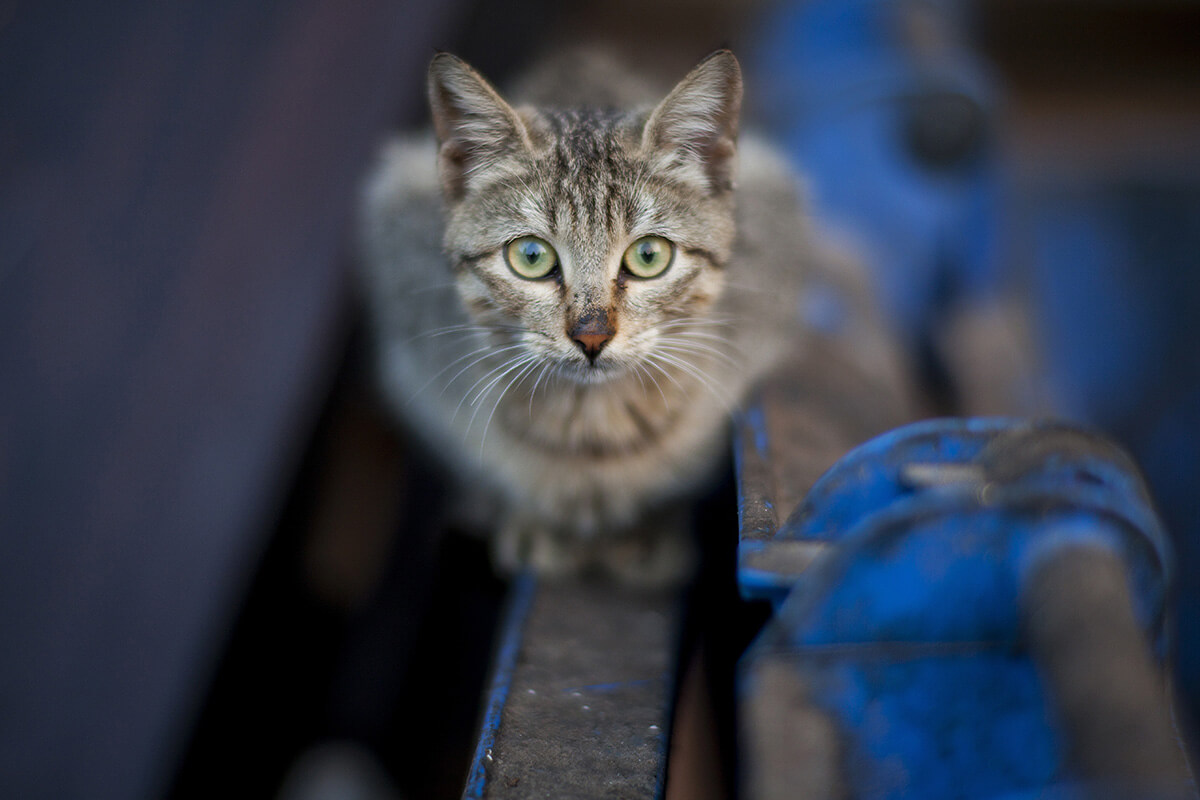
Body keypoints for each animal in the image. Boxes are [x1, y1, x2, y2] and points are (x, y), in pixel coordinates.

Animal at [352, 50, 806, 585]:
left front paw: (649, 528)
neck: (590, 427)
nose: (592, 336)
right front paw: (527, 517)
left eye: (649, 255)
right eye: (531, 256)